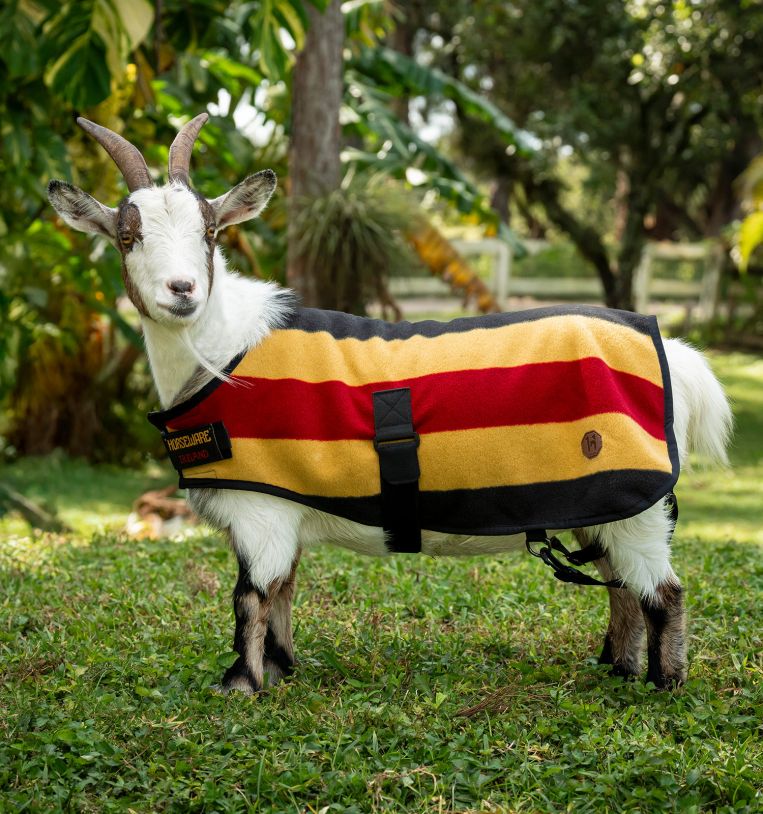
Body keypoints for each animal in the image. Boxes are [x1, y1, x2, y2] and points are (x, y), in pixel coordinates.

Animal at [48, 114, 732, 693]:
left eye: (210, 233)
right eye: (128, 236)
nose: (182, 289)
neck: (222, 352)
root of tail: (673, 354)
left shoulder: (260, 510)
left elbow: (250, 595)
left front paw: (241, 684)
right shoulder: (285, 505)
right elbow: (285, 590)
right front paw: (282, 668)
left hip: (636, 504)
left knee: (662, 592)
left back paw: (662, 683)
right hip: (603, 502)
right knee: (622, 586)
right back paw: (616, 665)